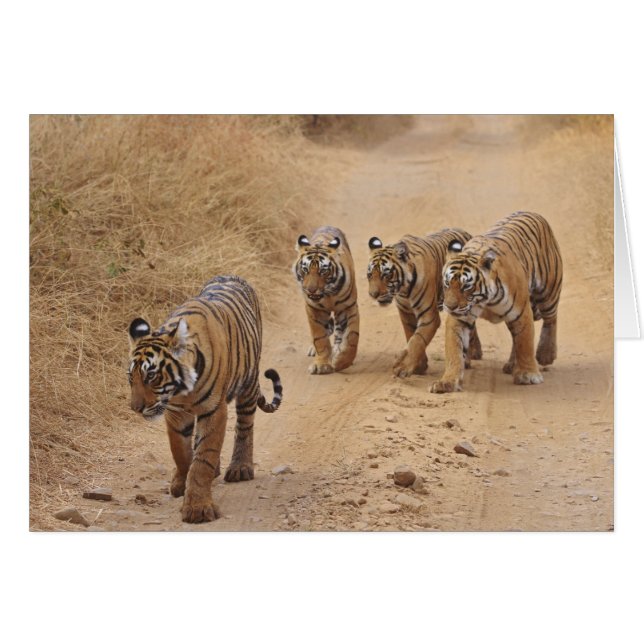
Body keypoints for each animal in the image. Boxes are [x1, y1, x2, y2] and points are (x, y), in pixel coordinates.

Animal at [127, 275, 282, 524]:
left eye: (151, 376)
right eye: (130, 378)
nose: (136, 408)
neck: (182, 390)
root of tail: (231, 275)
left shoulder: (213, 410)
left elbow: (203, 459)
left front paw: (197, 508)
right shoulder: (176, 413)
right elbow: (181, 452)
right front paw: (181, 483)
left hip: (248, 384)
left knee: (244, 426)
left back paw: (240, 468)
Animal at [293, 226, 359, 374]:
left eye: (323, 271)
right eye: (305, 269)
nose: (310, 289)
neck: (328, 294)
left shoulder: (348, 307)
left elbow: (352, 337)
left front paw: (341, 362)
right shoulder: (314, 309)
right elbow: (320, 338)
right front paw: (322, 364)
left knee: (339, 333)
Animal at [367, 228, 482, 377]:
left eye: (386, 275)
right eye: (370, 275)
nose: (373, 295)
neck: (404, 290)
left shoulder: (429, 316)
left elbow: (418, 340)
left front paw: (404, 367)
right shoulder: (406, 313)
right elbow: (411, 336)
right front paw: (420, 366)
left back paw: (467, 359)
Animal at [431, 211, 563, 393]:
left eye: (466, 287)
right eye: (447, 284)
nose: (449, 307)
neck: (485, 300)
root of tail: (532, 213)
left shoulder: (521, 312)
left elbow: (525, 344)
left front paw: (528, 375)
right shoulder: (459, 318)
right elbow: (454, 350)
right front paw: (447, 382)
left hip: (548, 290)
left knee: (551, 318)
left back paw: (545, 354)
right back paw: (512, 365)